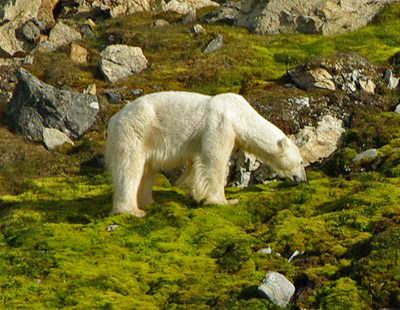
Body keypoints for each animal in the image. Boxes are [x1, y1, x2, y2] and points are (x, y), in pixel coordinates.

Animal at [105, 91, 306, 217]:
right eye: (301, 161)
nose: (302, 179)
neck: (238, 113)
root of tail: (113, 120)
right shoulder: (220, 124)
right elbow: (214, 158)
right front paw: (224, 201)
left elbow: (197, 163)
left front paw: (193, 193)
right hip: (134, 131)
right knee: (130, 168)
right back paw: (132, 210)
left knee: (148, 170)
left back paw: (150, 202)